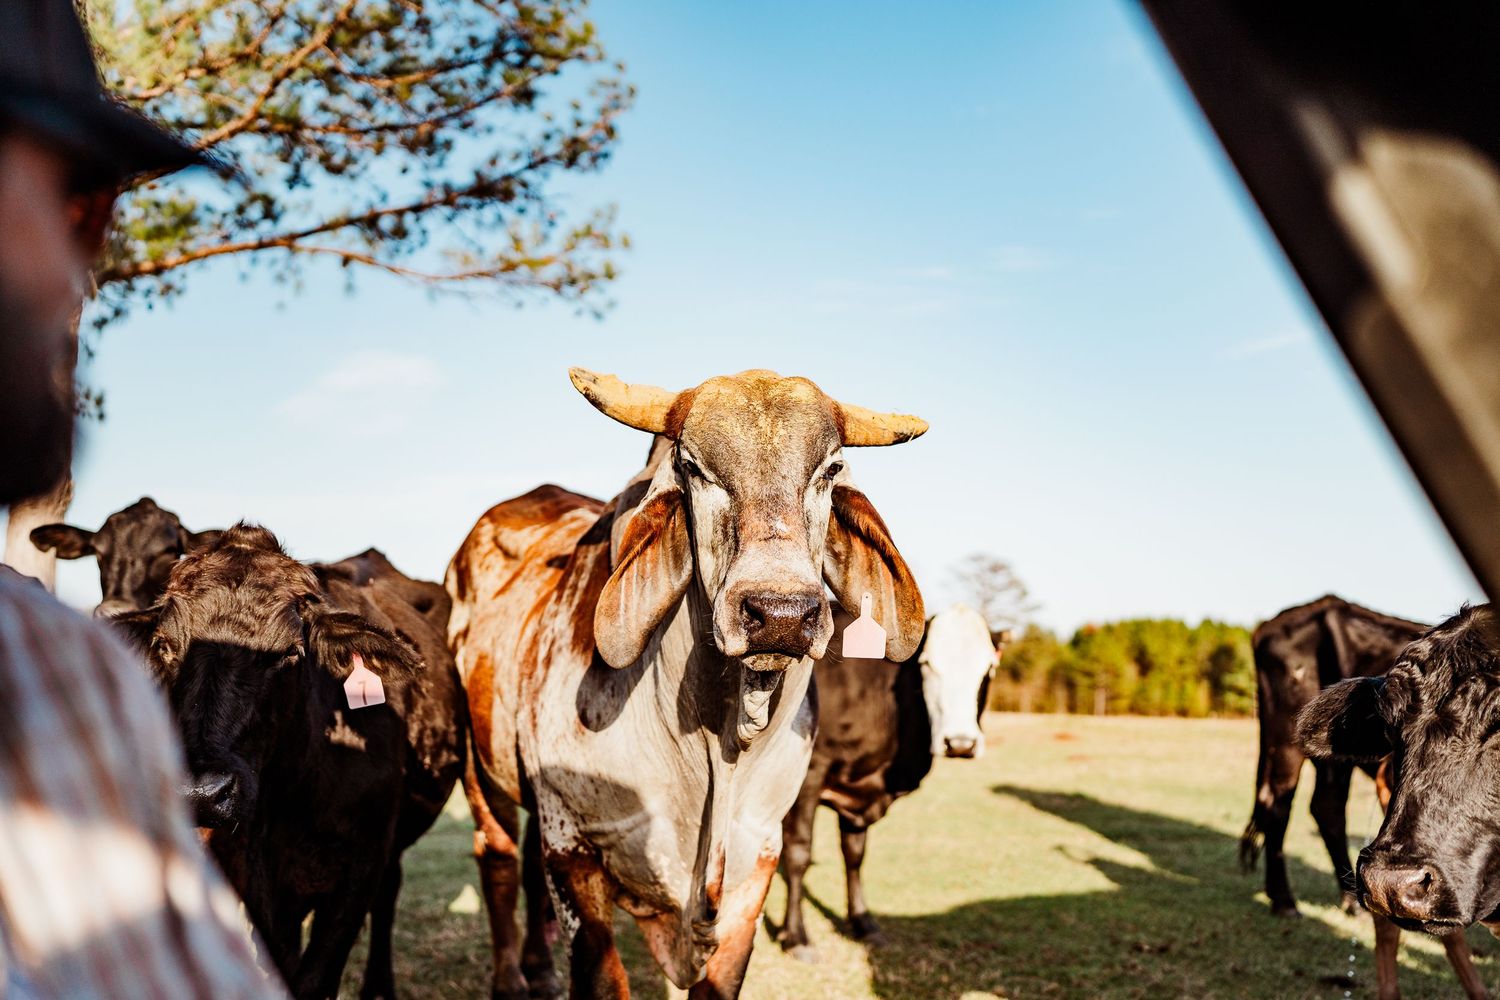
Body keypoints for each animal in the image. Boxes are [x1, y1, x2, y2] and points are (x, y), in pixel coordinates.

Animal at [109, 524, 466, 1000]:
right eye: (165, 646)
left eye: (291, 653)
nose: (201, 792)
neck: (295, 796)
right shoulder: (253, 877)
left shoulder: (361, 869)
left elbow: (316, 977)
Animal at [446, 368, 926, 999]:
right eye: (693, 466)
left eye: (830, 469)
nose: (781, 613)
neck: (717, 744)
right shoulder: (575, 849)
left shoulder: (757, 863)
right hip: (479, 767)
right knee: (498, 859)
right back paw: (510, 979)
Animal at [778, 603, 997, 961]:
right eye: (927, 664)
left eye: (989, 667)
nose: (961, 744)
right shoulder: (807, 777)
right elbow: (798, 855)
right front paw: (796, 936)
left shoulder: (858, 796)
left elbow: (855, 855)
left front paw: (863, 923)